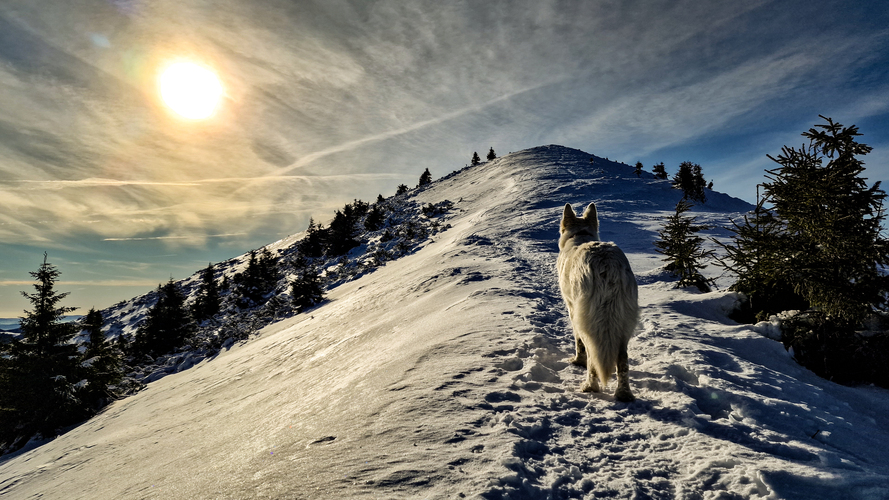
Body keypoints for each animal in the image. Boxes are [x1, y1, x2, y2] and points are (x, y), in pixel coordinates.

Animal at [556, 201, 640, 400]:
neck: (580, 235)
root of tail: (607, 264)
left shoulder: (572, 309)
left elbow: (578, 342)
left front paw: (578, 361)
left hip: (588, 321)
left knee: (593, 354)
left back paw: (590, 387)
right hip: (624, 324)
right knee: (622, 360)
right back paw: (623, 394)